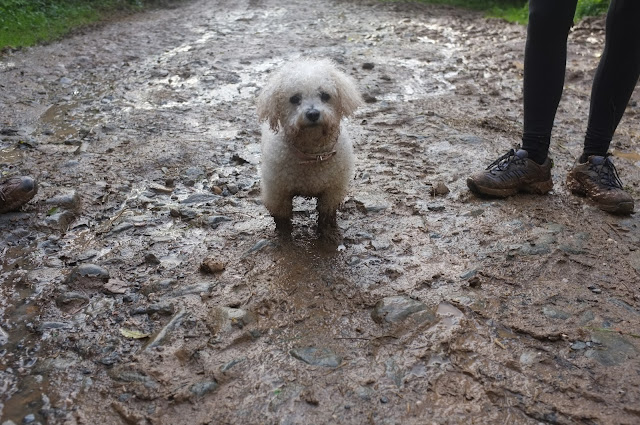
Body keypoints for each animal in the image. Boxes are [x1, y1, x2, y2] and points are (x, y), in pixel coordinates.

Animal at [258, 58, 362, 240]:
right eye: (294, 99)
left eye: (325, 95)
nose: (313, 114)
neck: (313, 155)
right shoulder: (278, 193)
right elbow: (282, 219)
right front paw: (284, 238)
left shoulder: (332, 191)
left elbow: (327, 215)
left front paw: (328, 234)